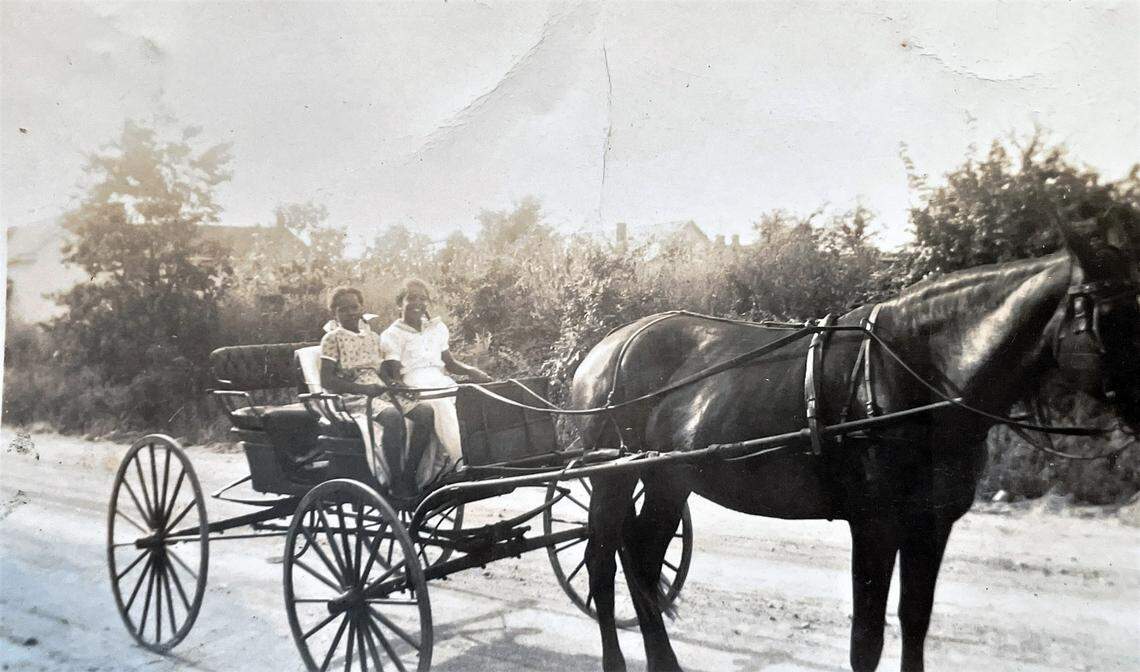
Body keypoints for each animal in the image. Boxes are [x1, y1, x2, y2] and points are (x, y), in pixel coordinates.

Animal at [569, 216, 1140, 672]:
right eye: (1110, 317)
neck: (917, 373)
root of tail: (604, 349)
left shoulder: (931, 524)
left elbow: (915, 621)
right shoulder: (874, 524)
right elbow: (866, 640)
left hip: (667, 478)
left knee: (642, 558)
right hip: (613, 477)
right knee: (602, 562)